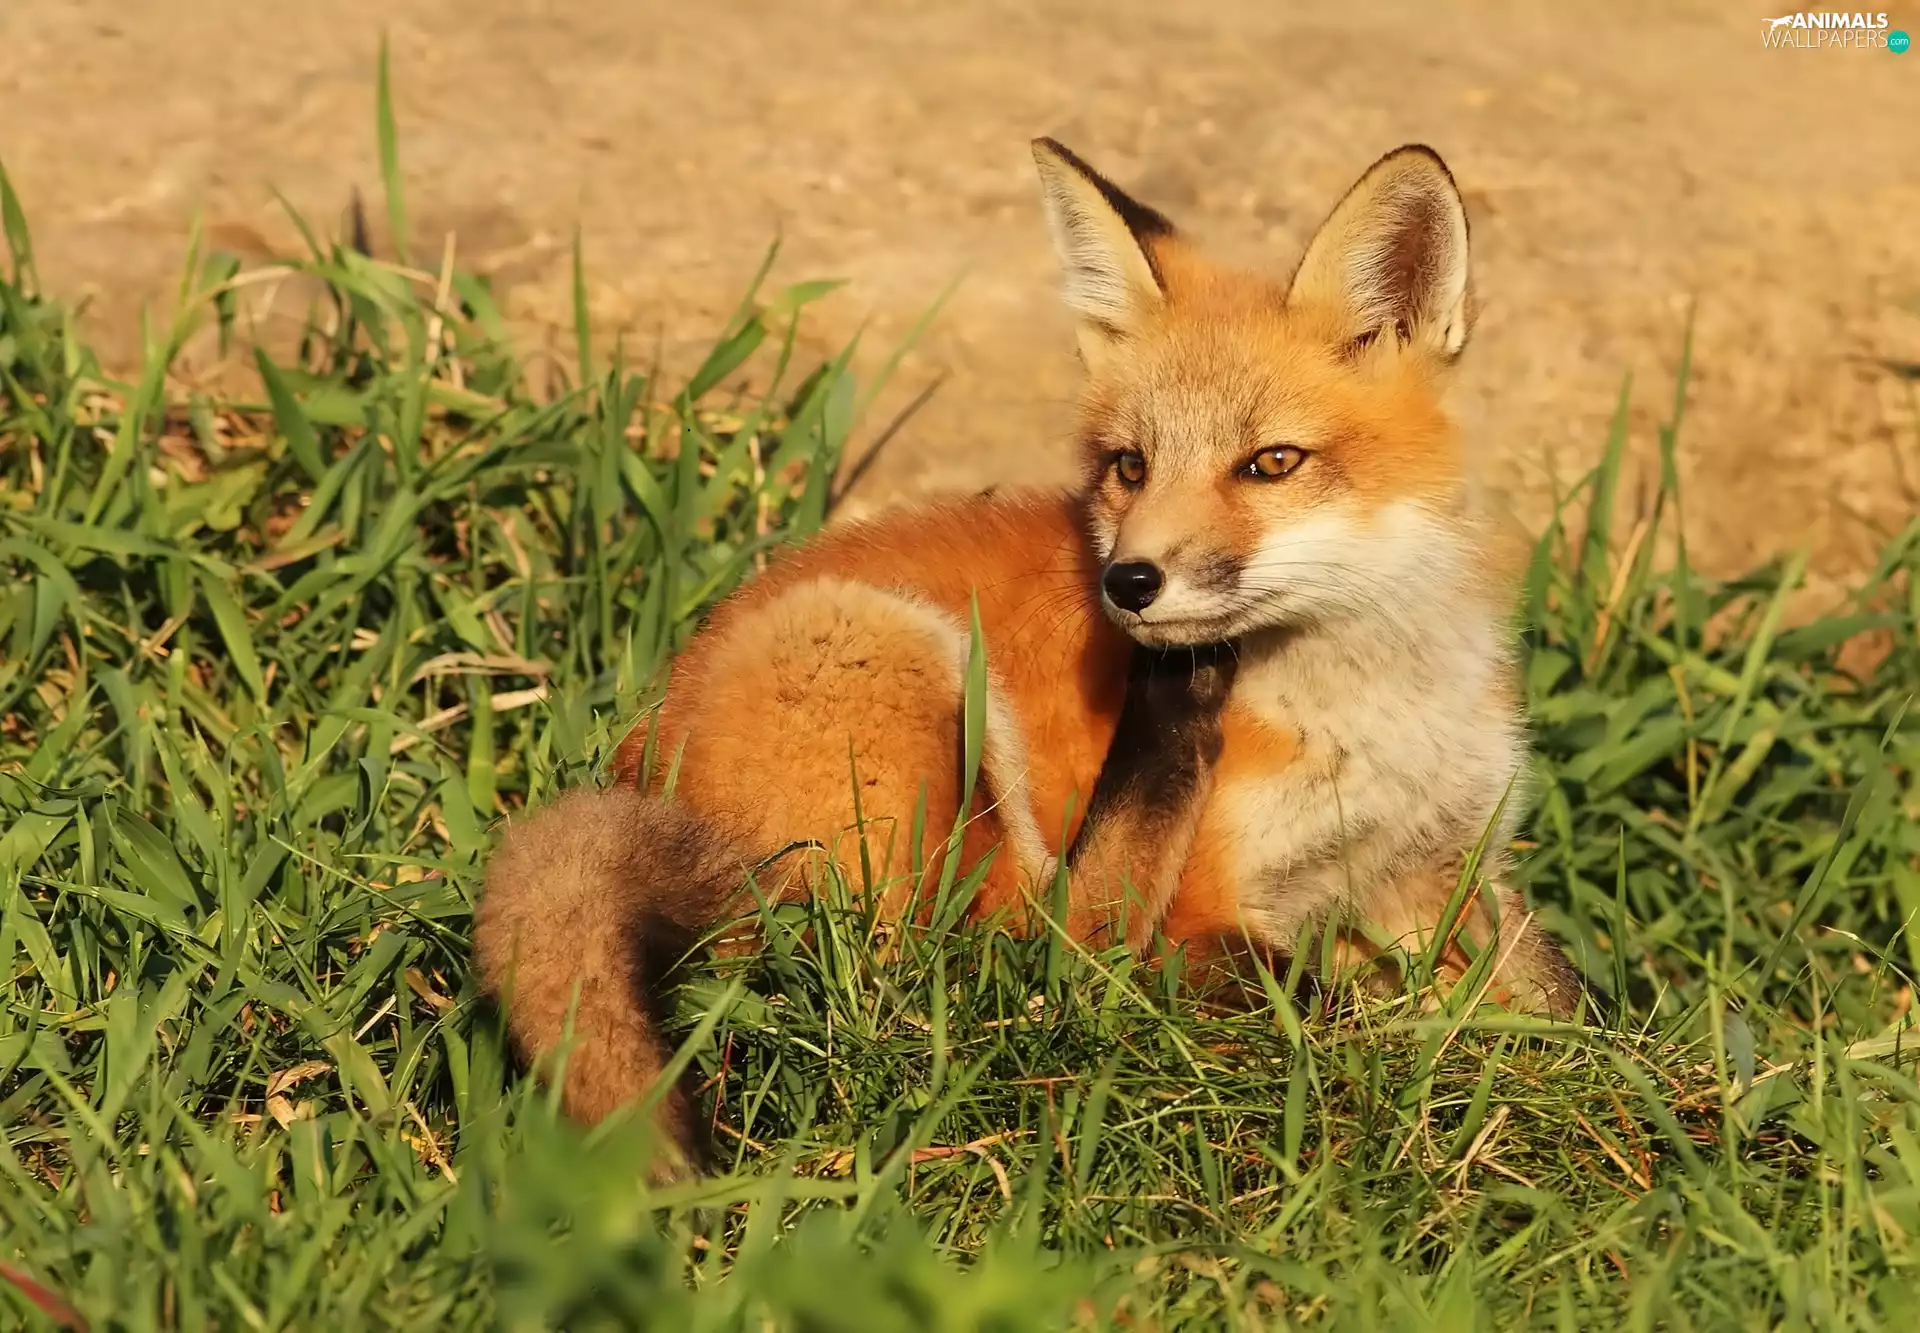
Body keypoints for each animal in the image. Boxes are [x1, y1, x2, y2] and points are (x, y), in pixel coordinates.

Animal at [473, 136, 1582, 1178]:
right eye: (1131, 466)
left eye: (1272, 462)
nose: (1129, 583)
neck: (1372, 711)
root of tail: (645, 754)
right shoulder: (1210, 908)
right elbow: (1304, 996)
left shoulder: (1441, 870)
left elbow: (1557, 998)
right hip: (896, 667)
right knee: (1029, 963)